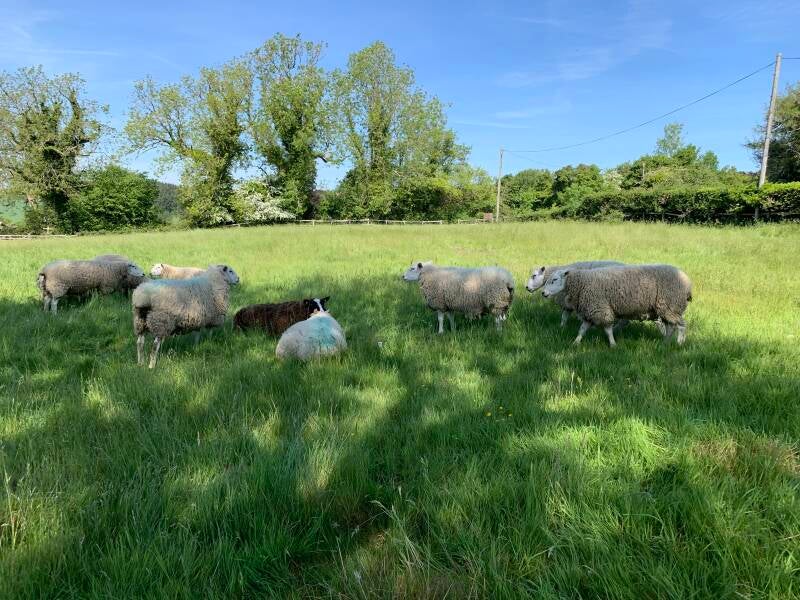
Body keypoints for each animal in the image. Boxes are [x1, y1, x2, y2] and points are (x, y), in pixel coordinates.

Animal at [542, 264, 692, 347]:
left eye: (554, 280)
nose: (543, 293)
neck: (582, 283)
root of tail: (688, 282)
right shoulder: (590, 312)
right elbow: (582, 330)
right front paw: (575, 343)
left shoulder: (601, 309)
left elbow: (608, 329)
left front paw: (613, 344)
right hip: (666, 308)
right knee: (670, 327)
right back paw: (665, 342)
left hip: (671, 306)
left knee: (681, 325)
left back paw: (679, 343)